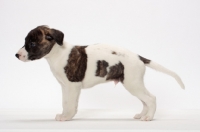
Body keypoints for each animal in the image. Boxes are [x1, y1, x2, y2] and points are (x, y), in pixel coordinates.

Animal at [15, 25, 184, 121]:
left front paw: (67, 117)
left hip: (133, 83)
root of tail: (138, 57)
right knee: (145, 101)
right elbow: (65, 102)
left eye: (32, 43)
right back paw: (142, 115)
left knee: (151, 98)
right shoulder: (65, 87)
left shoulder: (73, 86)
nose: (16, 55)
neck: (58, 53)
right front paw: (64, 115)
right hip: (134, 84)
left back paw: (148, 117)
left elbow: (71, 104)